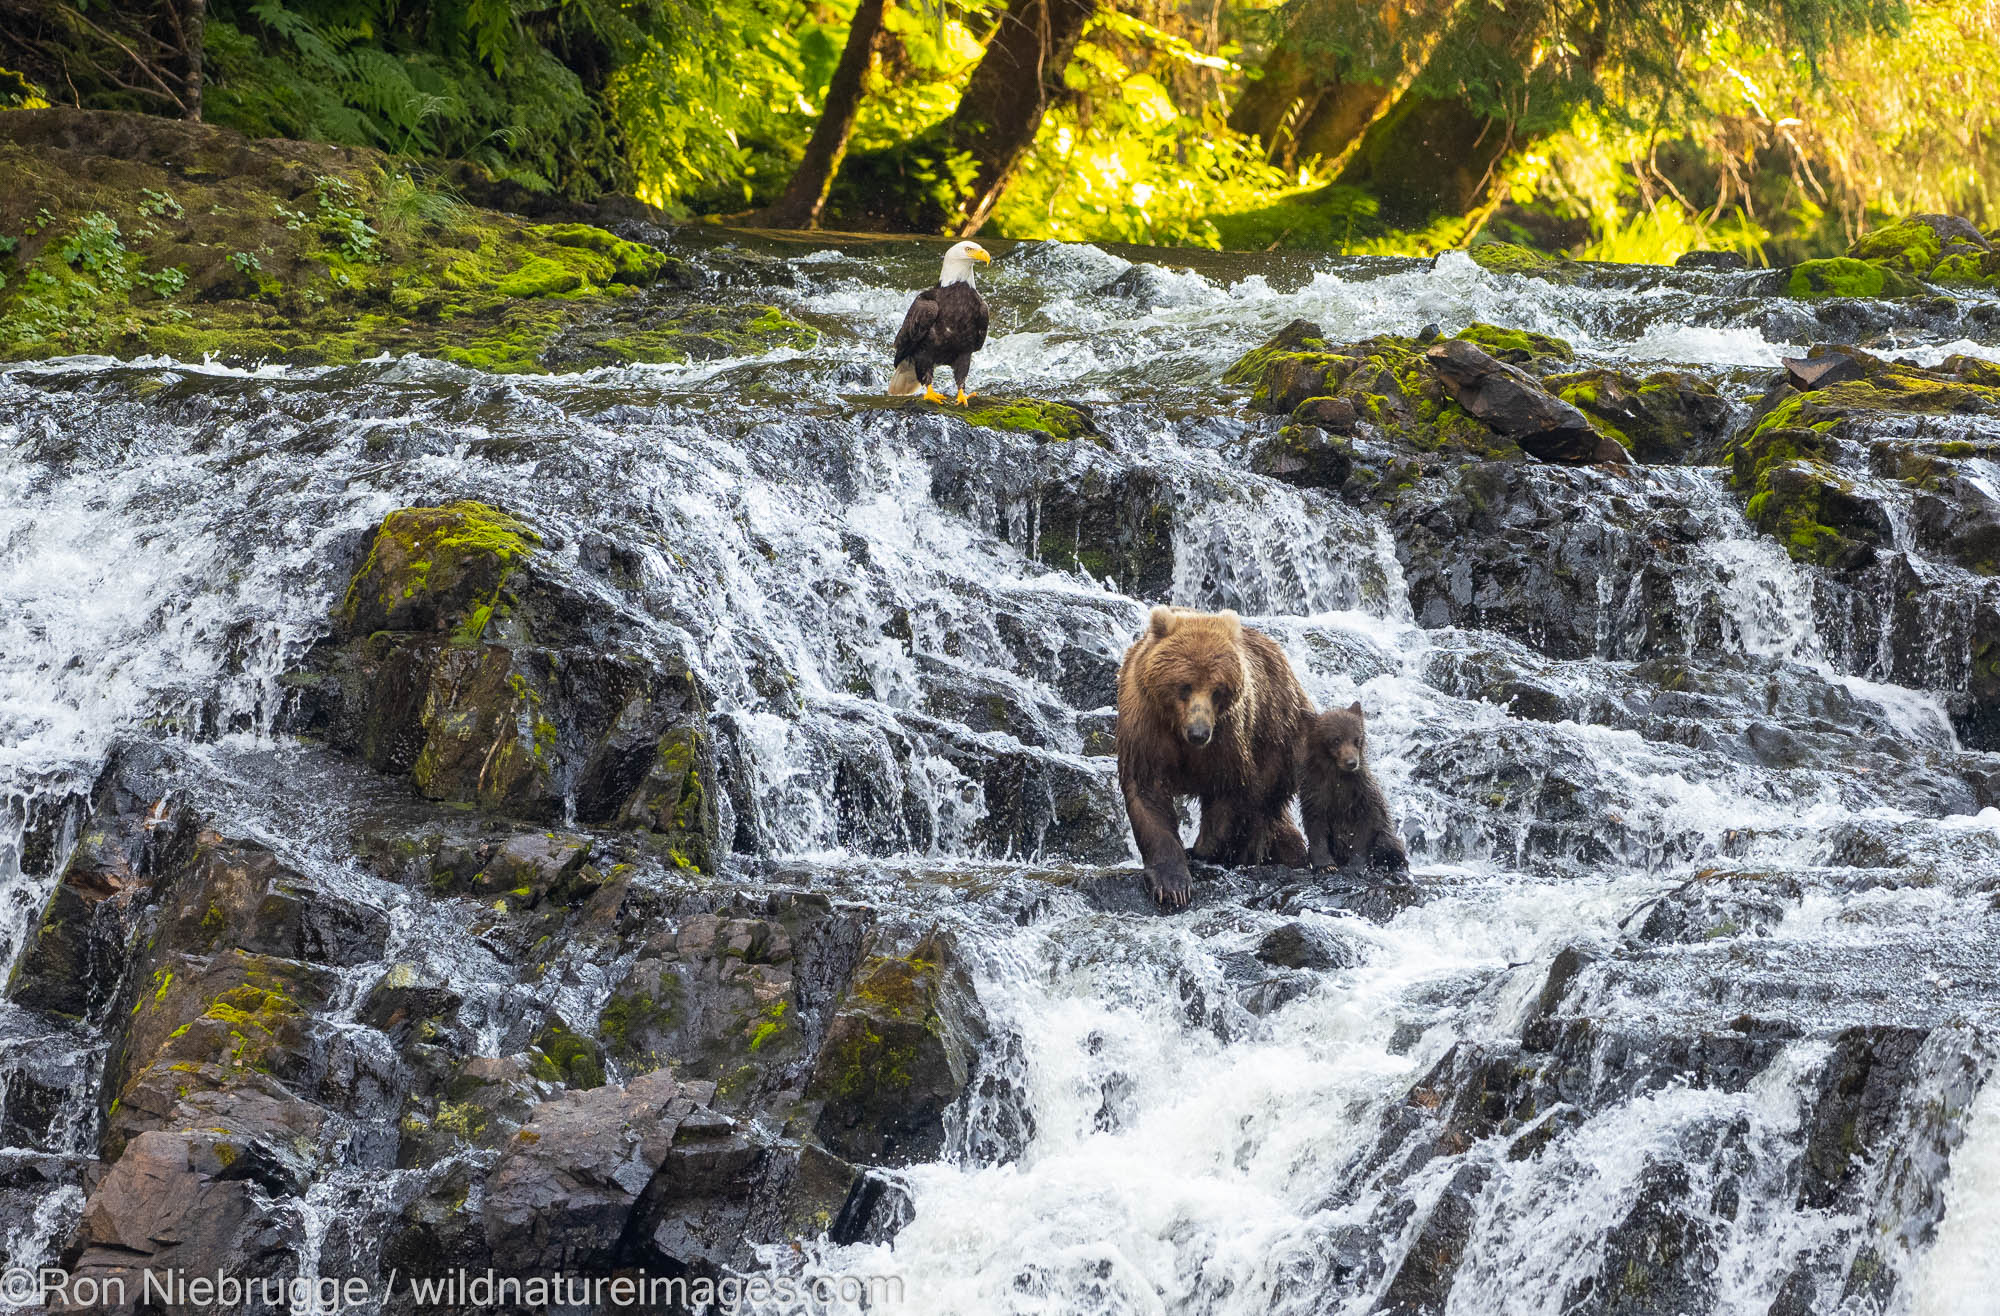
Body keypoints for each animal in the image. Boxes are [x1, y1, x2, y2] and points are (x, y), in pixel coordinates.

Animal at [1112, 604, 1312, 904]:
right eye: (1184, 686)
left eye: (1218, 690)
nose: (1199, 732)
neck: (1178, 728)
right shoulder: (1146, 725)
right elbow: (1148, 792)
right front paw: (1172, 884)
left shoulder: (1228, 737)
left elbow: (1230, 791)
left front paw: (1201, 852)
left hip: (1279, 737)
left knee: (1263, 805)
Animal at [1296, 704, 1408, 876]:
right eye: (1336, 739)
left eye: (1356, 739)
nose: (1351, 762)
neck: (1337, 776)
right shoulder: (1315, 791)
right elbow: (1316, 827)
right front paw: (1326, 866)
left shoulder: (1362, 793)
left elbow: (1366, 829)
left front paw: (1354, 867)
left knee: (1390, 844)